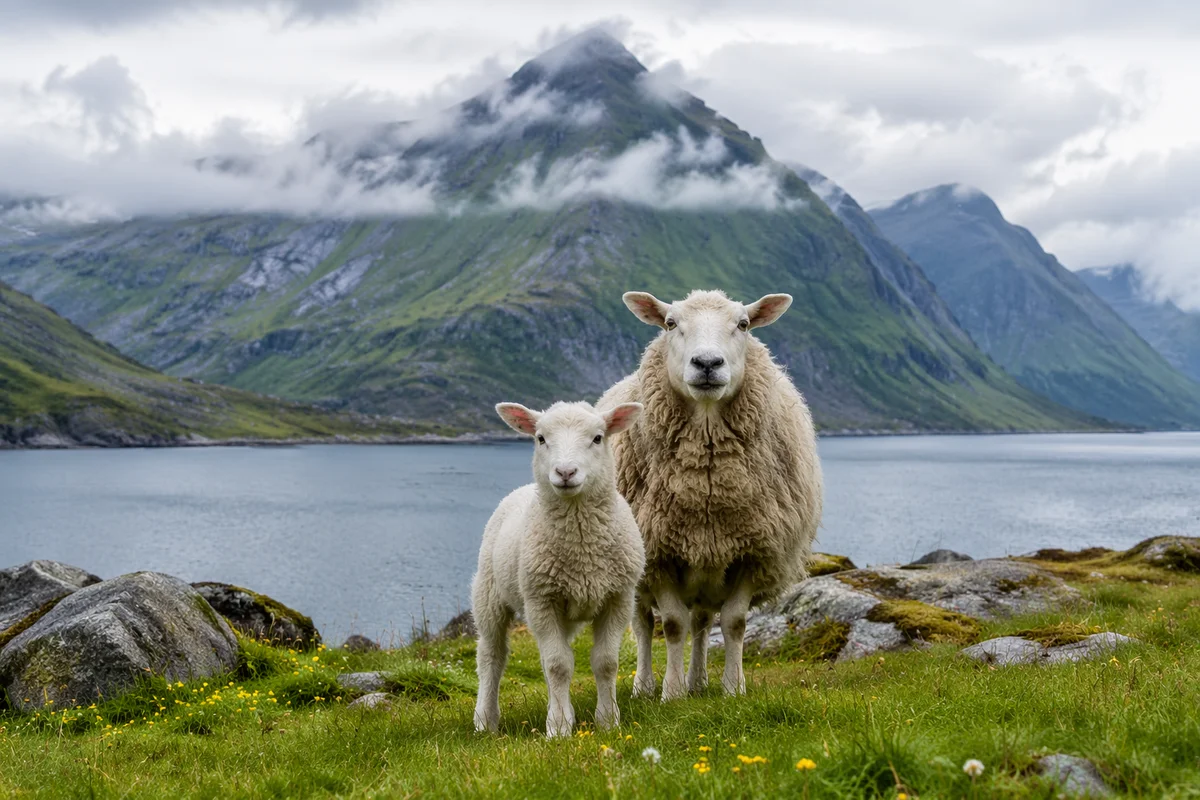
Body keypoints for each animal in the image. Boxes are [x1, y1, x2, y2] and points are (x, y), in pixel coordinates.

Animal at [472, 400, 646, 738]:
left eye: (597, 438)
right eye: (540, 438)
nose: (565, 472)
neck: (582, 549)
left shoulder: (618, 598)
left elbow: (605, 662)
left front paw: (607, 721)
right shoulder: (542, 601)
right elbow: (559, 666)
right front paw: (559, 727)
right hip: (489, 595)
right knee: (492, 656)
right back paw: (485, 720)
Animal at [597, 289, 823, 701]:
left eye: (744, 324)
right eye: (670, 323)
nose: (706, 363)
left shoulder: (752, 550)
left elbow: (733, 623)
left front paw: (733, 688)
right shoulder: (658, 555)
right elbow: (671, 624)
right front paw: (671, 694)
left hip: (707, 570)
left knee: (702, 622)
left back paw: (699, 680)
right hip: (631, 567)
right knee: (642, 624)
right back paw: (644, 686)